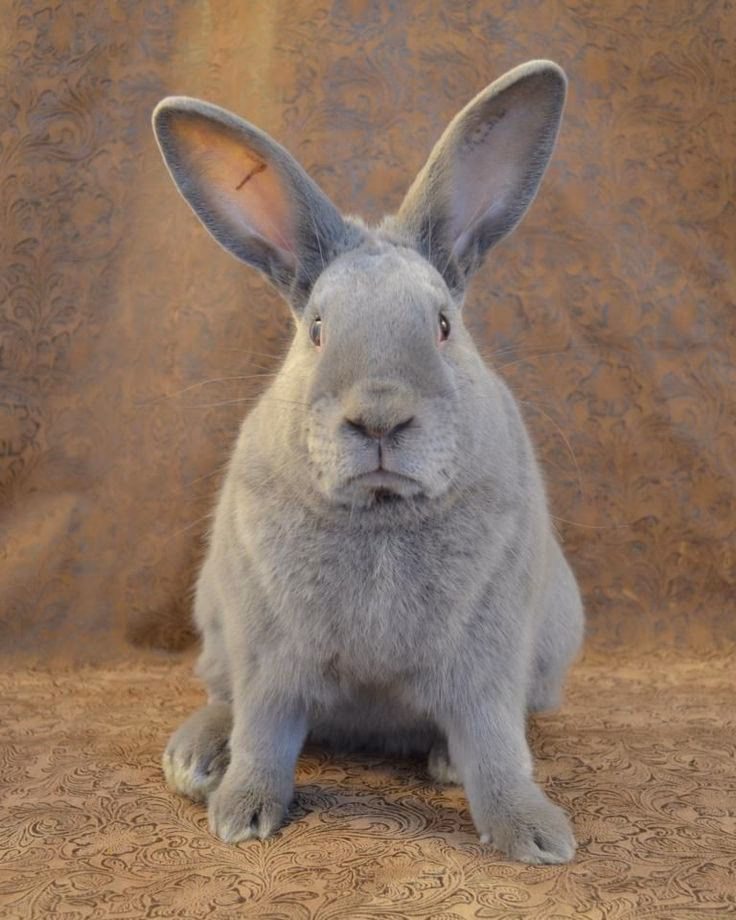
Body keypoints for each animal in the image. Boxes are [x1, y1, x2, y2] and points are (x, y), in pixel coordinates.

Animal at [153, 59, 584, 865]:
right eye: (317, 330)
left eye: (443, 324)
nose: (379, 415)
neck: (382, 512)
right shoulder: (271, 657)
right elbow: (264, 734)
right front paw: (239, 816)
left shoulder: (488, 662)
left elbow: (497, 748)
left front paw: (537, 836)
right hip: (216, 627)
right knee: (224, 700)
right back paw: (194, 760)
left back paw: (444, 764)